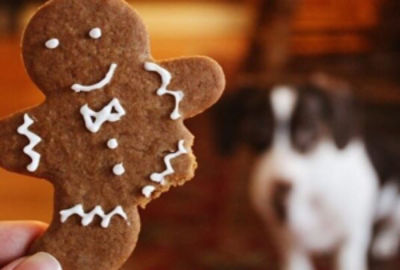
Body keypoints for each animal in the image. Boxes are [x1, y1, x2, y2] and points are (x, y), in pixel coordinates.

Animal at [216, 78, 400, 270]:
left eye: (307, 130)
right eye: (257, 131)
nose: (280, 189)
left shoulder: (350, 239)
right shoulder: (287, 241)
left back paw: (384, 242)